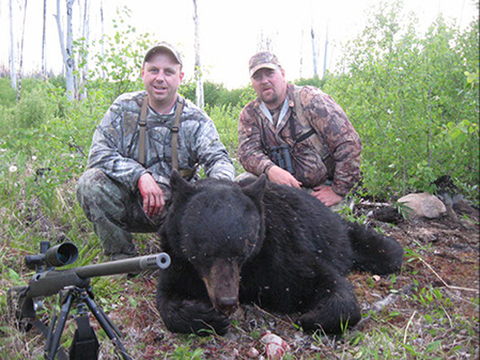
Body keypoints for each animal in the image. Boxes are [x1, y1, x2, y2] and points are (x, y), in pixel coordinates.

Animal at [156, 172, 404, 334]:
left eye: (242, 252)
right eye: (205, 254)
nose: (227, 302)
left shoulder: (280, 254)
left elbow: (328, 284)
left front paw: (311, 317)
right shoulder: (177, 260)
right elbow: (166, 300)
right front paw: (205, 316)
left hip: (344, 236)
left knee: (389, 252)